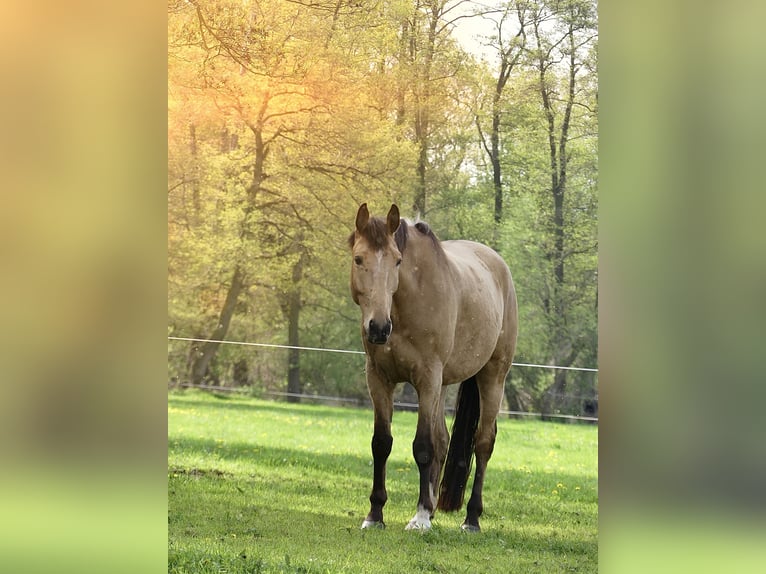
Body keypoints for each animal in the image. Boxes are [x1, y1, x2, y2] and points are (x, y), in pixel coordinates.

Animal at [350, 204, 520, 536]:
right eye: (358, 258)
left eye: (398, 260)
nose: (378, 328)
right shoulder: (379, 379)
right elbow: (382, 443)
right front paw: (375, 514)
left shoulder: (427, 378)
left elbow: (423, 447)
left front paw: (419, 518)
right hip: (443, 385)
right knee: (444, 440)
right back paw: (433, 509)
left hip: (492, 376)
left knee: (483, 443)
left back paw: (471, 518)